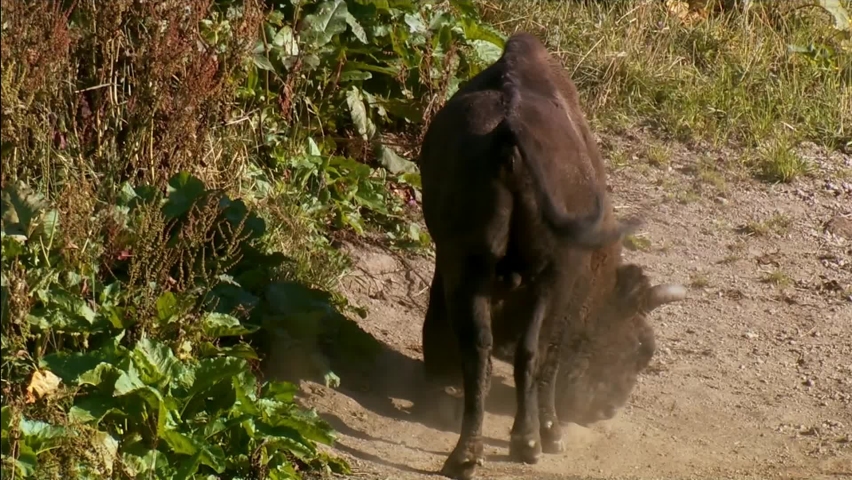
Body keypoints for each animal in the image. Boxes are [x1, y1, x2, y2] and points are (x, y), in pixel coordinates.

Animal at [417, 32, 686, 480]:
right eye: (640, 347)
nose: (606, 409)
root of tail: (509, 137)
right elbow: (547, 356)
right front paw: (550, 434)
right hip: (546, 278)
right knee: (530, 353)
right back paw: (530, 441)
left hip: (467, 266)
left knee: (478, 348)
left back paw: (465, 454)